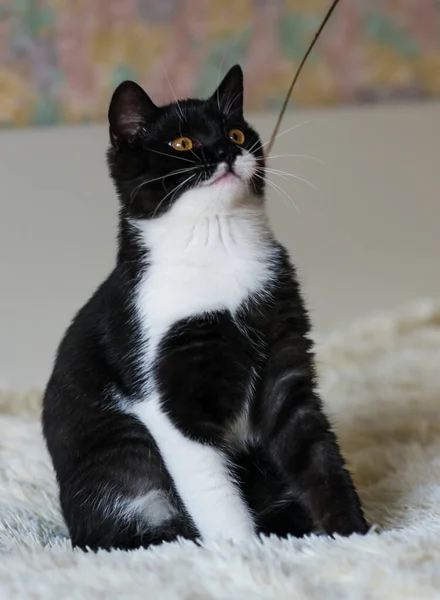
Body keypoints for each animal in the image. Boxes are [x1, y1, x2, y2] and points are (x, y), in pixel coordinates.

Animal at [42, 64, 368, 548]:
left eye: (236, 133)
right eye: (181, 144)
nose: (225, 152)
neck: (218, 242)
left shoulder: (284, 361)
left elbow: (318, 456)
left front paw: (356, 536)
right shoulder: (163, 391)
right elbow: (212, 488)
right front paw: (244, 551)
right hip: (121, 459)